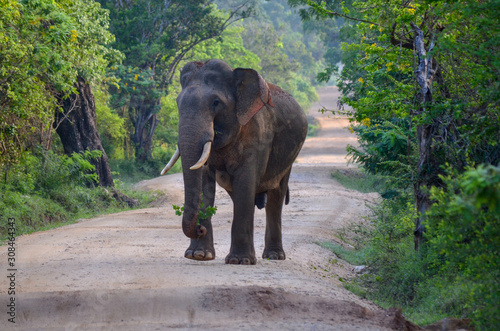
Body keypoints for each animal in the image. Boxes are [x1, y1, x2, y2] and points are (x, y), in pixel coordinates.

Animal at [162, 59, 306, 266]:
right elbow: (205, 181)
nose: (199, 229)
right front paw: (198, 255)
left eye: (216, 103)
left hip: (288, 159)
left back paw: (274, 256)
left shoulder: (257, 135)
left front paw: (240, 261)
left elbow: (245, 183)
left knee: (275, 197)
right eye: (177, 103)